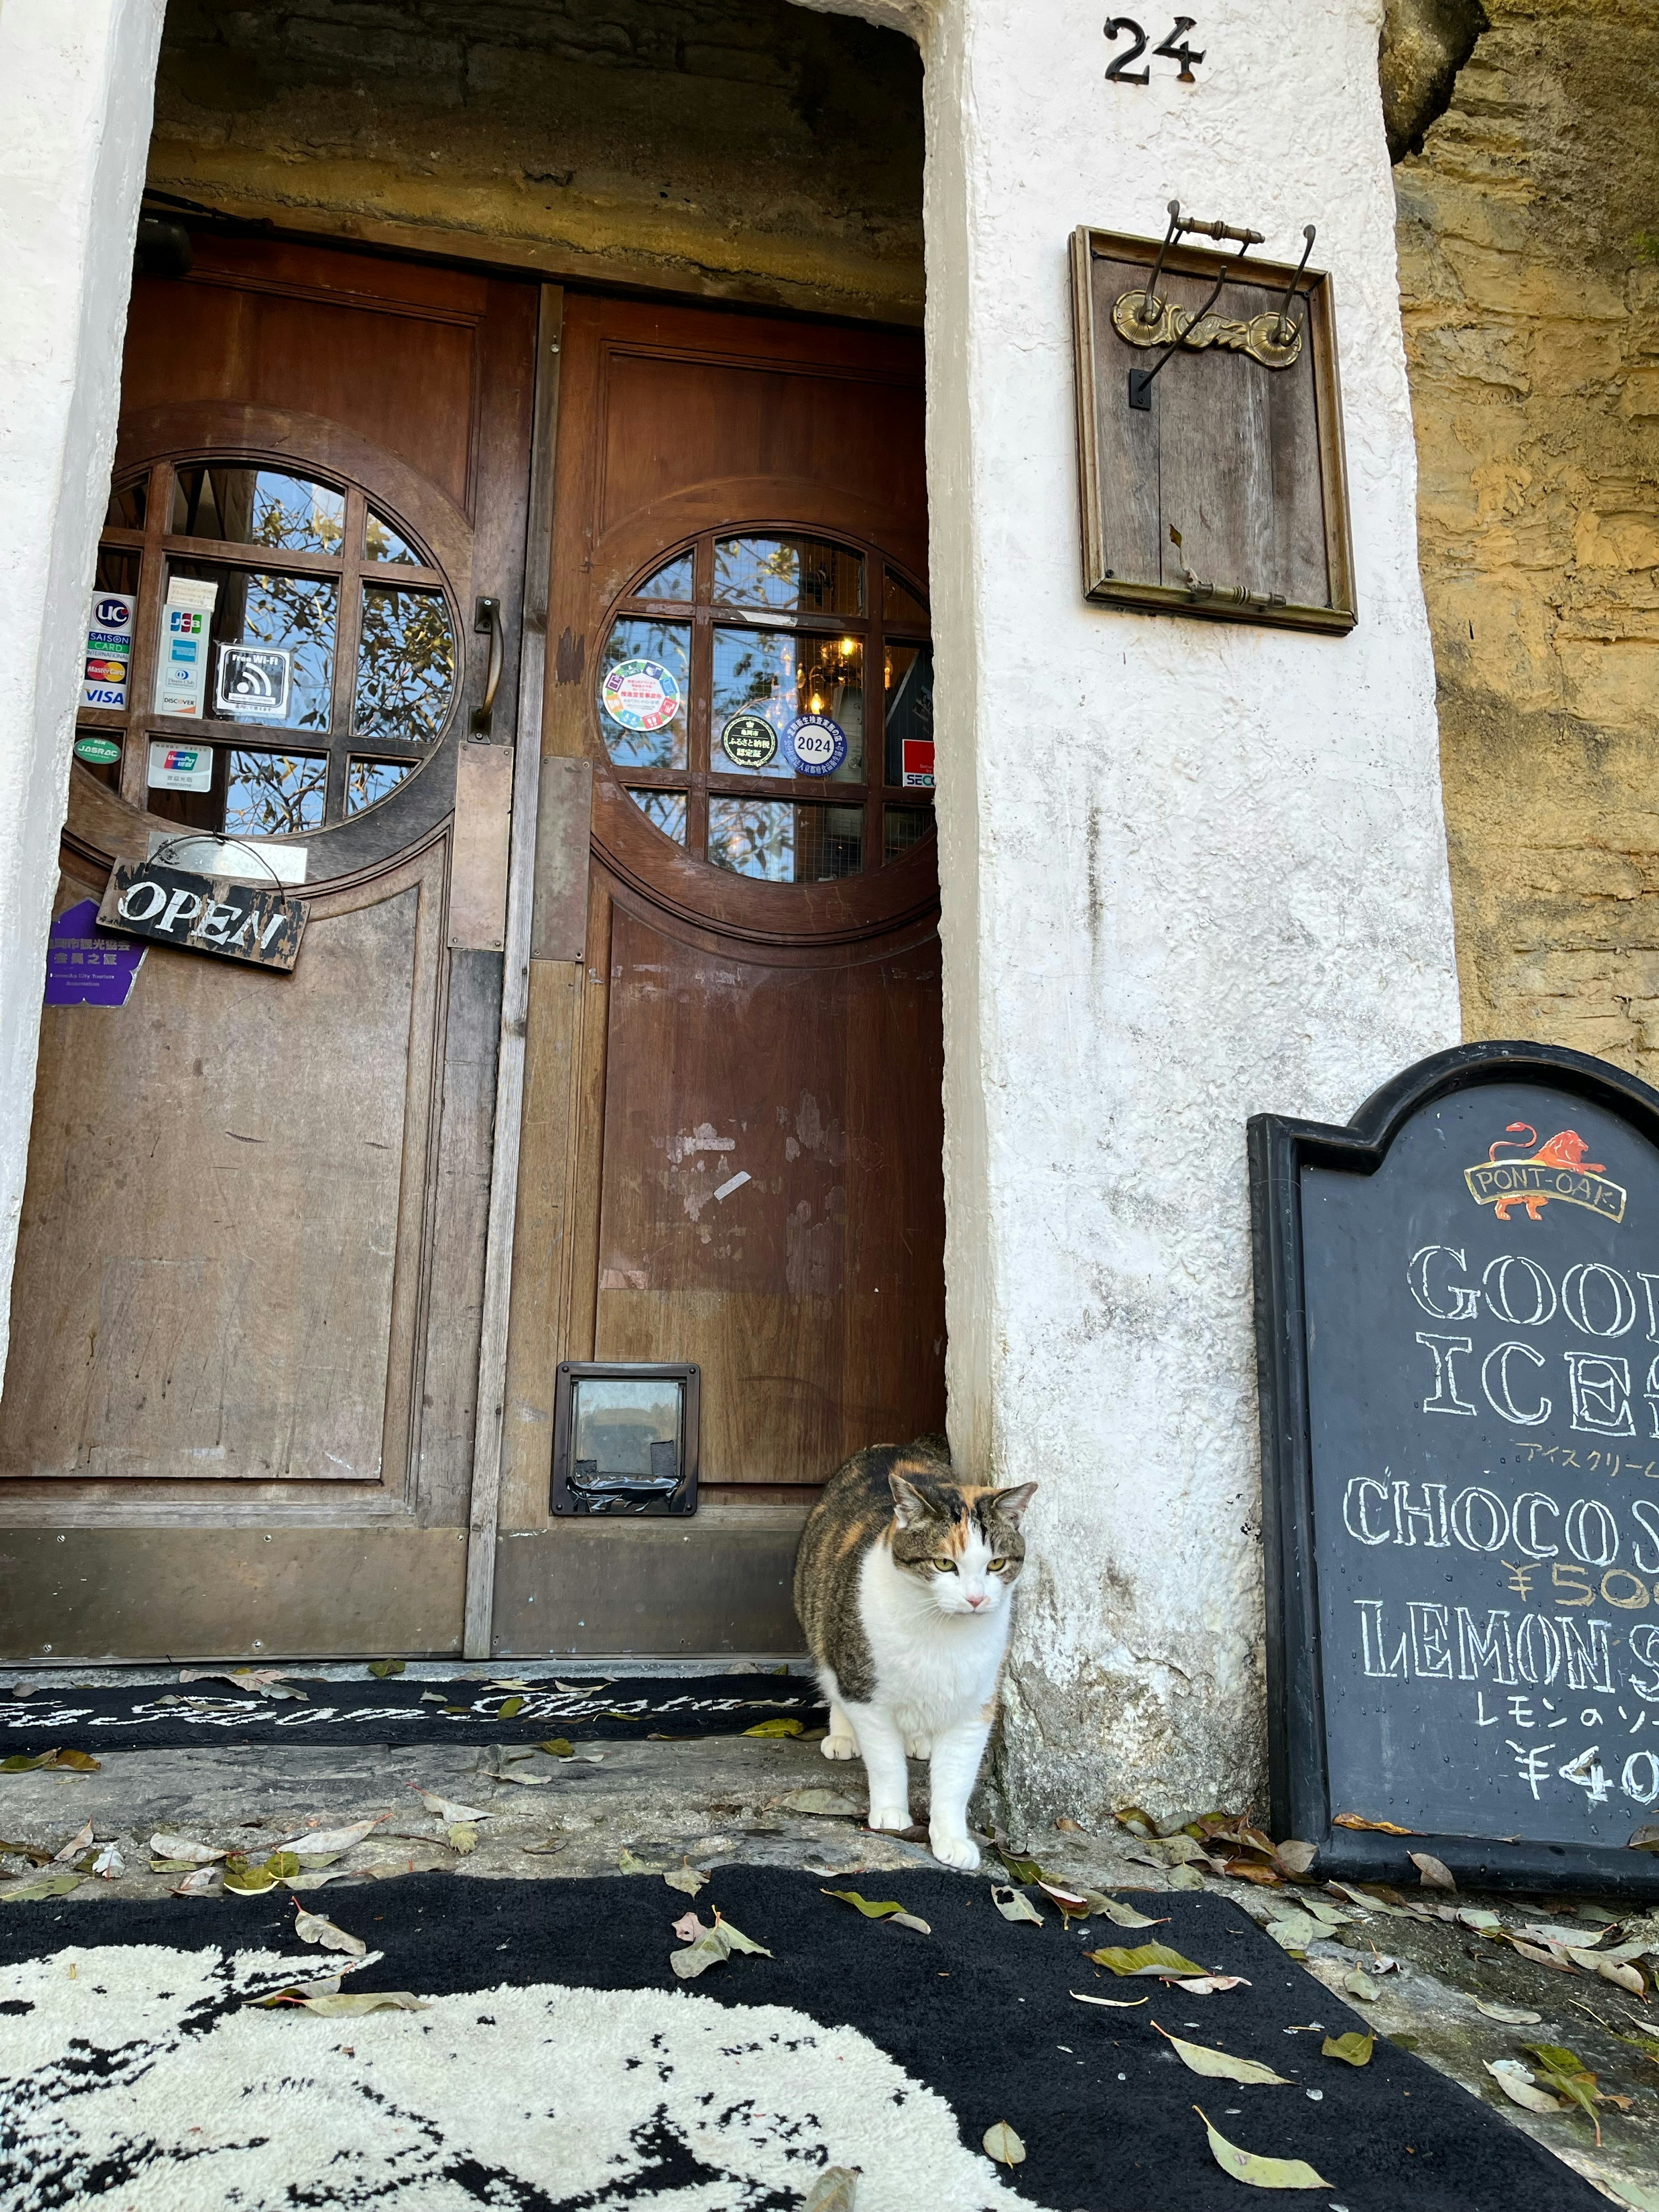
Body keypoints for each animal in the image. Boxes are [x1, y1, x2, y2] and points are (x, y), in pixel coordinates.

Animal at [796, 1433, 1039, 1867]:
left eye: (996, 1565)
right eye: (944, 1564)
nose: (976, 1599)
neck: (942, 1634)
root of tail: (891, 1445)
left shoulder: (976, 1704)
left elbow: (956, 1778)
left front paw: (952, 1839)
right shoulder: (866, 1694)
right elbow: (886, 1761)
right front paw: (891, 1815)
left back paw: (920, 1740)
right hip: (822, 1616)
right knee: (831, 1678)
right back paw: (843, 1737)